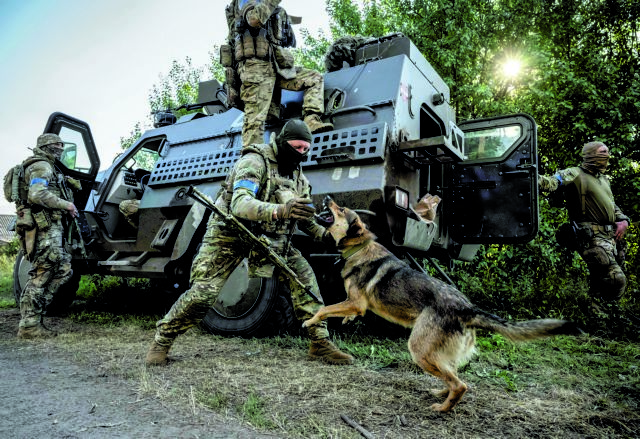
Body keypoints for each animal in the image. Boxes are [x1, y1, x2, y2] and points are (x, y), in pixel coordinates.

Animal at [302, 199, 584, 412]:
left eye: (340, 209)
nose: (327, 199)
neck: (358, 248)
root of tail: (468, 309)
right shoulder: (355, 304)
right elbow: (338, 311)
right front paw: (345, 320)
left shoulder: (356, 302)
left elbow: (323, 308)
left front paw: (310, 320)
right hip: (437, 354)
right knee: (453, 376)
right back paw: (441, 393)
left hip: (419, 349)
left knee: (460, 385)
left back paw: (442, 408)